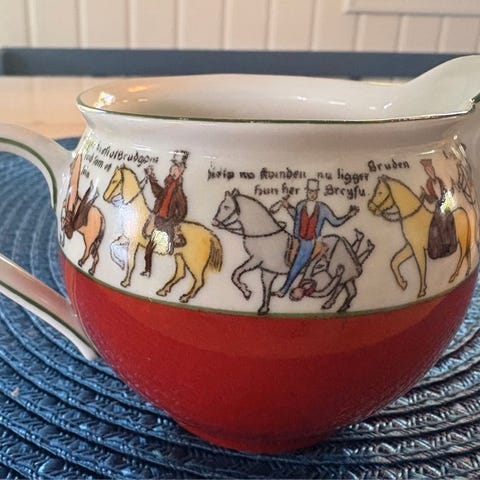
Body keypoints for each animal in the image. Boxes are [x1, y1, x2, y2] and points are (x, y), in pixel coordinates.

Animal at [103, 165, 222, 303]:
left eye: (114, 181)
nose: (105, 197)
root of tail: (210, 235)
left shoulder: (133, 242)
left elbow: (131, 261)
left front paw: (126, 282)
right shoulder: (125, 238)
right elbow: (112, 246)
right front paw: (120, 263)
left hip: (194, 262)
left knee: (199, 281)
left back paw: (185, 297)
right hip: (180, 256)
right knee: (180, 274)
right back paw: (163, 290)